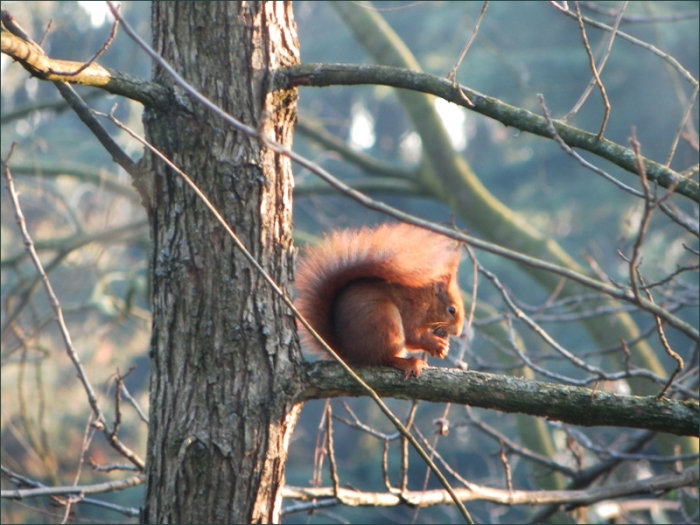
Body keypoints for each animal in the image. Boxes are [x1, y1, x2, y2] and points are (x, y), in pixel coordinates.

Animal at [295, 223, 464, 378]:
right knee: (384, 358)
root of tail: (349, 352)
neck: (427, 299)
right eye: (452, 310)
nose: (457, 332)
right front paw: (437, 344)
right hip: (386, 323)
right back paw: (408, 362)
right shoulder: (412, 310)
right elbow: (412, 334)